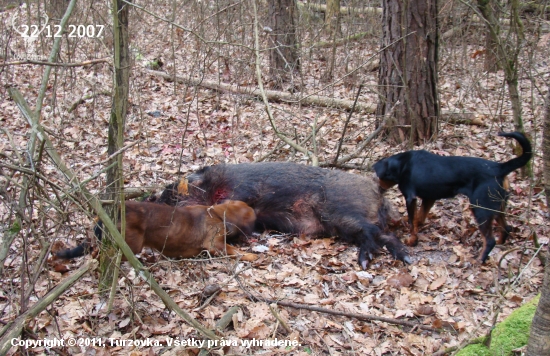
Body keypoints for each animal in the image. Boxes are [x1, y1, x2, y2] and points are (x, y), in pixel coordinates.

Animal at [57, 200, 260, 262]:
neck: (216, 212)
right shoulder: (214, 244)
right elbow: (235, 251)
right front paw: (251, 255)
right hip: (130, 246)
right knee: (99, 254)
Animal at [374, 132, 532, 262]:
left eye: (380, 177)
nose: (378, 188)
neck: (402, 164)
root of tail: (500, 168)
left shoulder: (410, 197)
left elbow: (413, 221)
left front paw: (412, 240)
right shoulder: (429, 198)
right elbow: (419, 217)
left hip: (481, 208)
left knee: (489, 240)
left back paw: (479, 260)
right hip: (496, 206)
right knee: (506, 228)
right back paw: (499, 245)